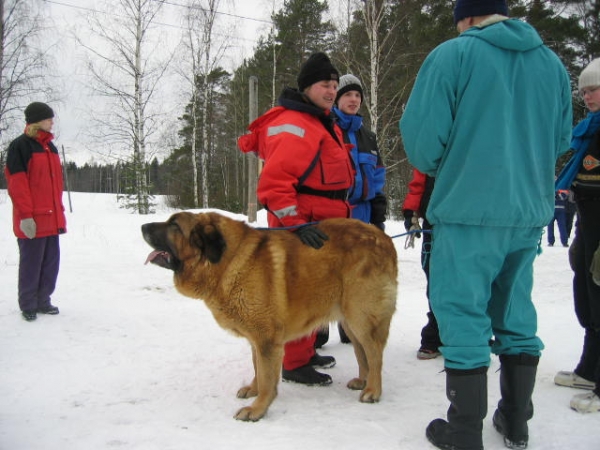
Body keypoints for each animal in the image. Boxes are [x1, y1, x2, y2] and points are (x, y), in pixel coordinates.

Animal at [142, 211, 398, 422]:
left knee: (375, 354)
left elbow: (267, 378)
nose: (143, 226)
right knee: (362, 354)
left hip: (361, 317)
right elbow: (257, 368)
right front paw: (253, 390)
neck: (228, 261)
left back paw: (373, 391)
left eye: (174, 225)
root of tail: (383, 238)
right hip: (351, 321)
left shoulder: (266, 339)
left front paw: (257, 409)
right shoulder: (256, 339)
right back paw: (362, 382)